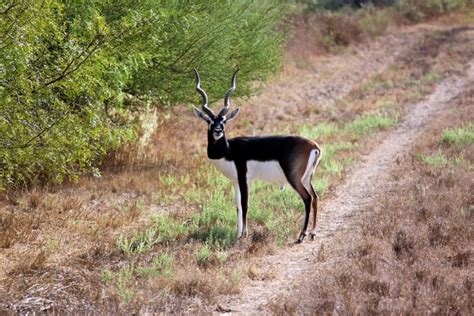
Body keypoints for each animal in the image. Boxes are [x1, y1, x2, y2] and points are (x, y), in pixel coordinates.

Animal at [193, 68, 322, 242]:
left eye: (224, 121)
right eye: (209, 121)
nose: (218, 131)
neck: (229, 150)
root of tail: (314, 146)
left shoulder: (244, 179)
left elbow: (245, 204)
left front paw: (244, 235)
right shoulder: (235, 181)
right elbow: (238, 206)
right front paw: (238, 235)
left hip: (294, 178)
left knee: (307, 198)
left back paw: (302, 235)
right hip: (307, 177)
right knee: (315, 197)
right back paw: (313, 233)